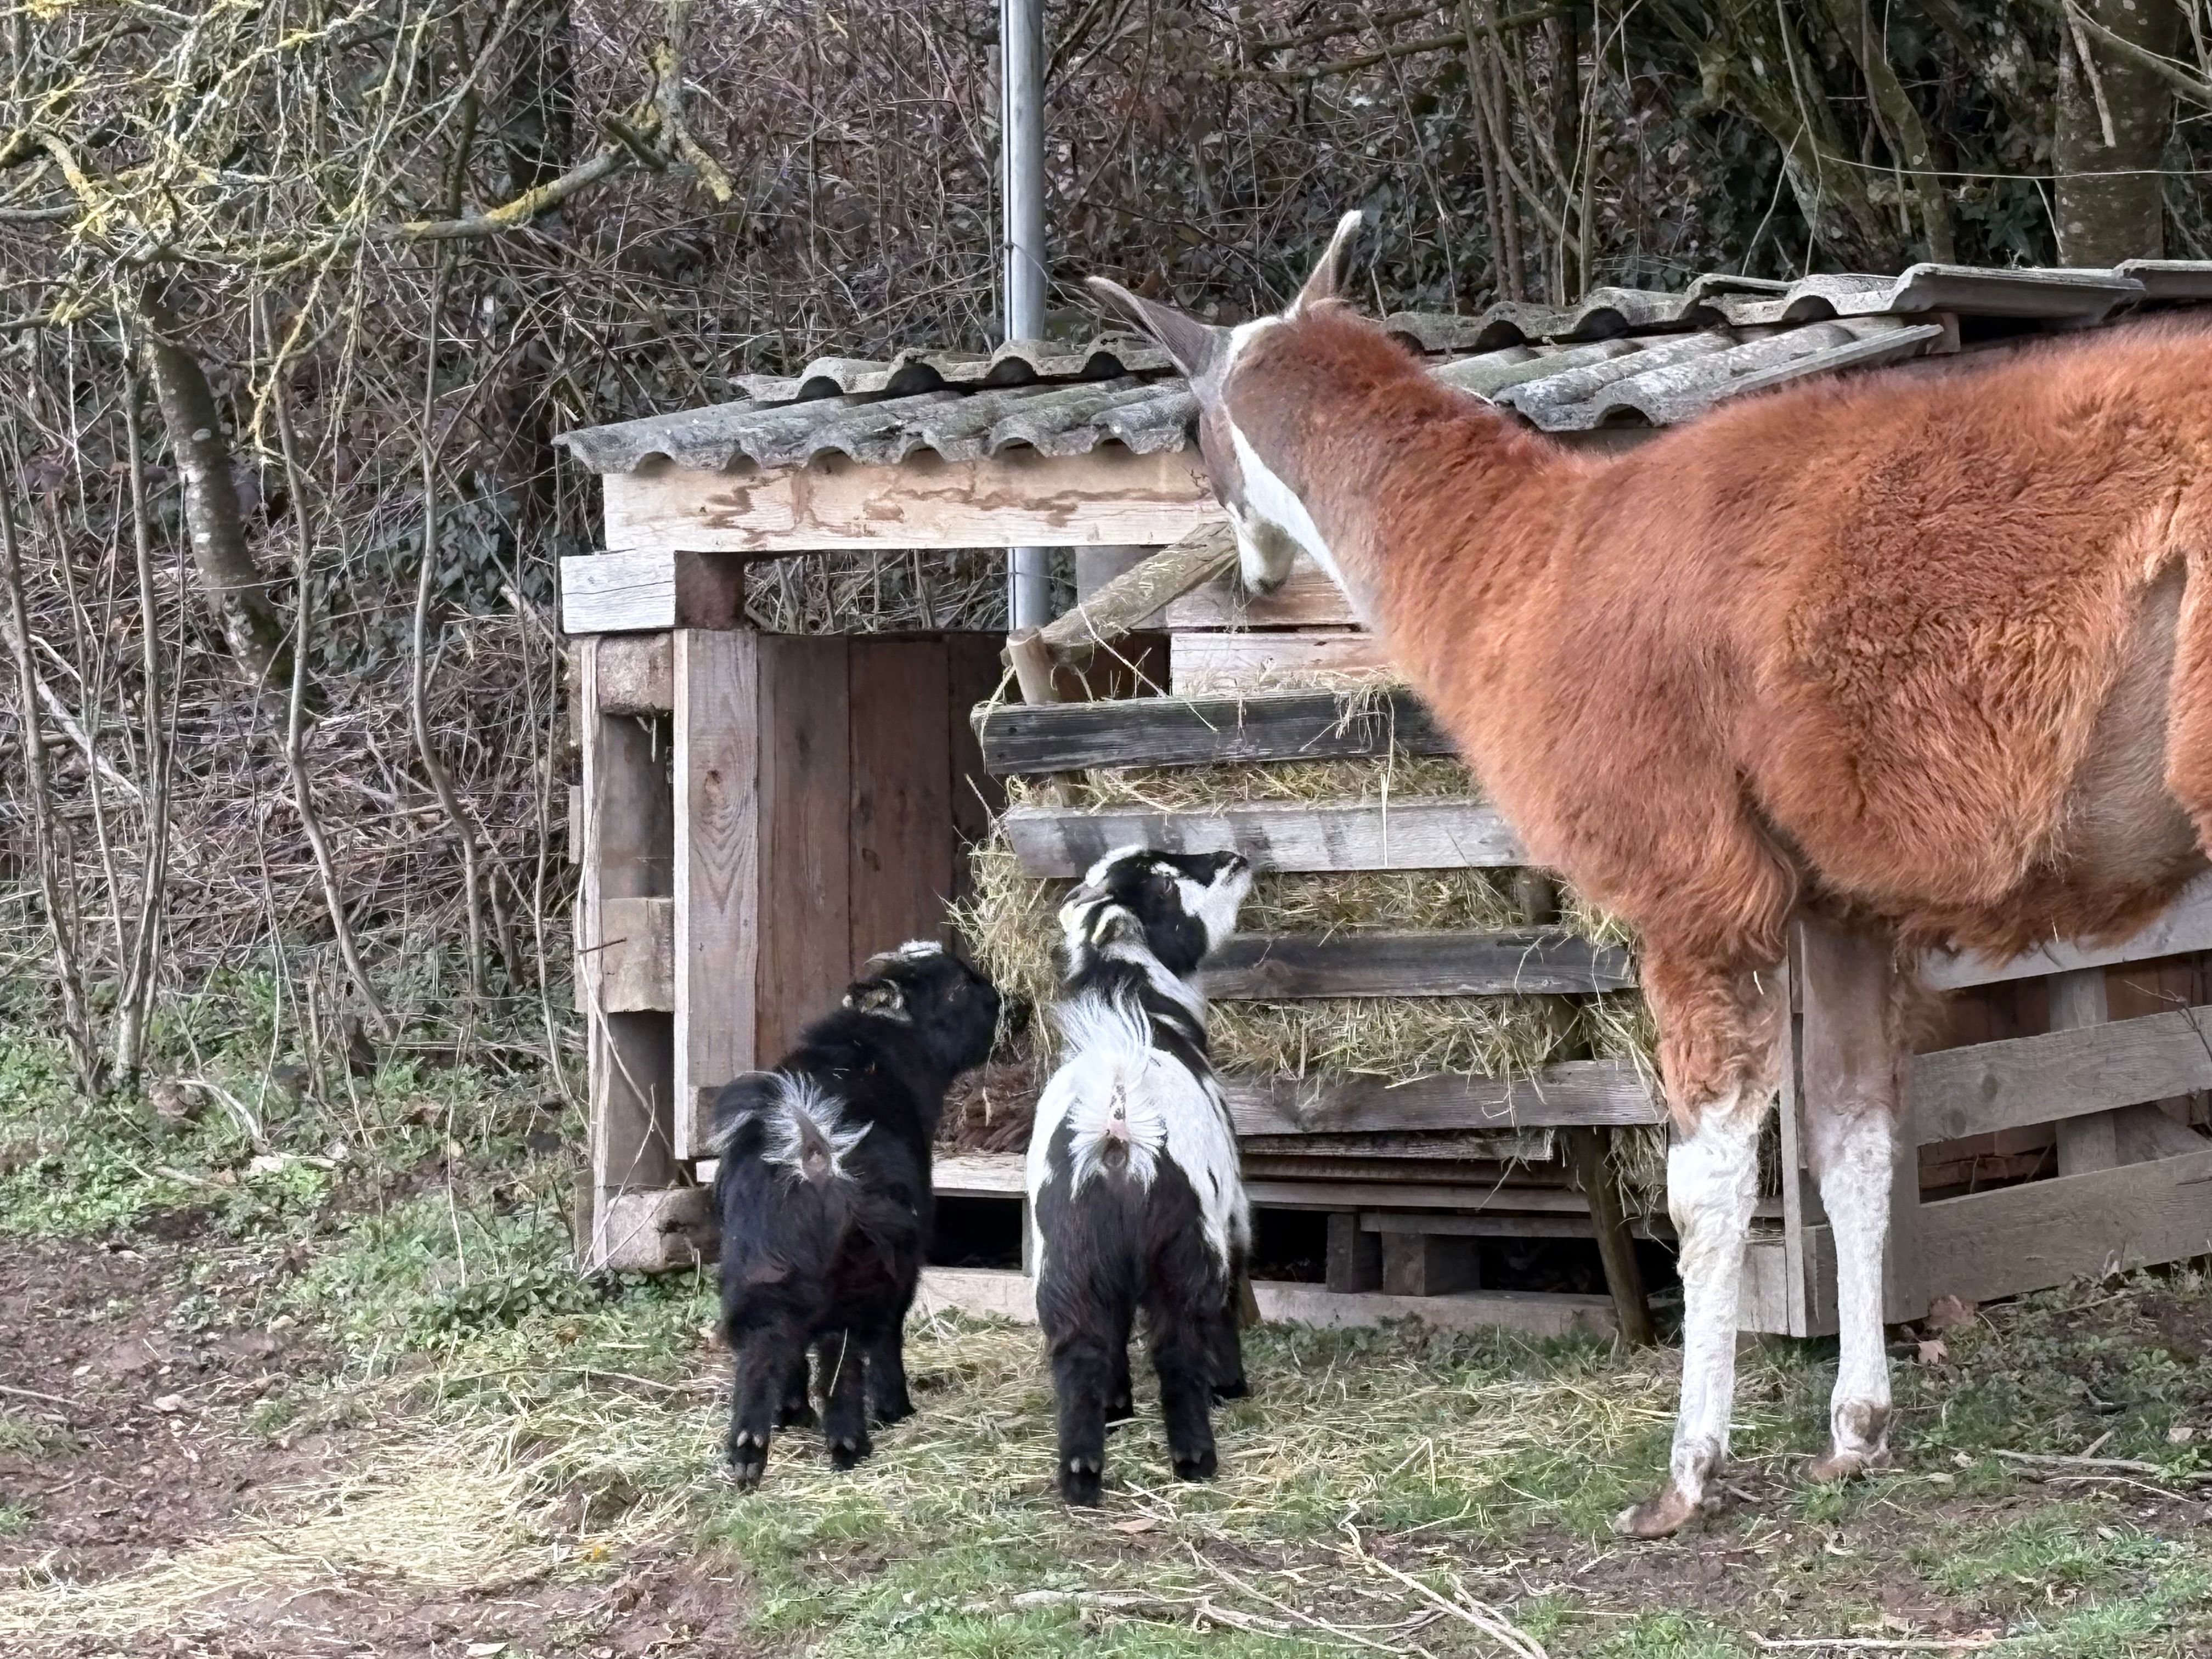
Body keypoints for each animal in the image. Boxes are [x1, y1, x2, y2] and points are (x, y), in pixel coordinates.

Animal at [712, 940, 1000, 1488]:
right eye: (956, 986)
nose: (1001, 1000)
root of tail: (813, 1153)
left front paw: (792, 1414)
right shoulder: (902, 1265)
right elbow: (888, 1335)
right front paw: (893, 1409)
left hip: (760, 1270)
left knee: (766, 1348)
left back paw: (750, 1453)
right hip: (862, 1269)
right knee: (842, 1353)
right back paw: (850, 1443)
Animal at [1027, 845, 1254, 1505]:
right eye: (1164, 884)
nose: (1234, 859)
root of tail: (1119, 1132)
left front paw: (1119, 1407)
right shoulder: (1232, 1215)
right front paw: (1231, 1386)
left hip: (1068, 1265)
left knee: (1081, 1350)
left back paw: (1081, 1472)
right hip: (1185, 1249)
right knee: (1180, 1342)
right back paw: (1196, 1456)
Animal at [1090, 215, 2212, 1536]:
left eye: (1187, 430)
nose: (1250, 575)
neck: (1526, 573)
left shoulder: (1693, 889)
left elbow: (1703, 1186)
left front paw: (1685, 1476)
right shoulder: (1837, 900)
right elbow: (1855, 1149)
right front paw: (1856, 1433)